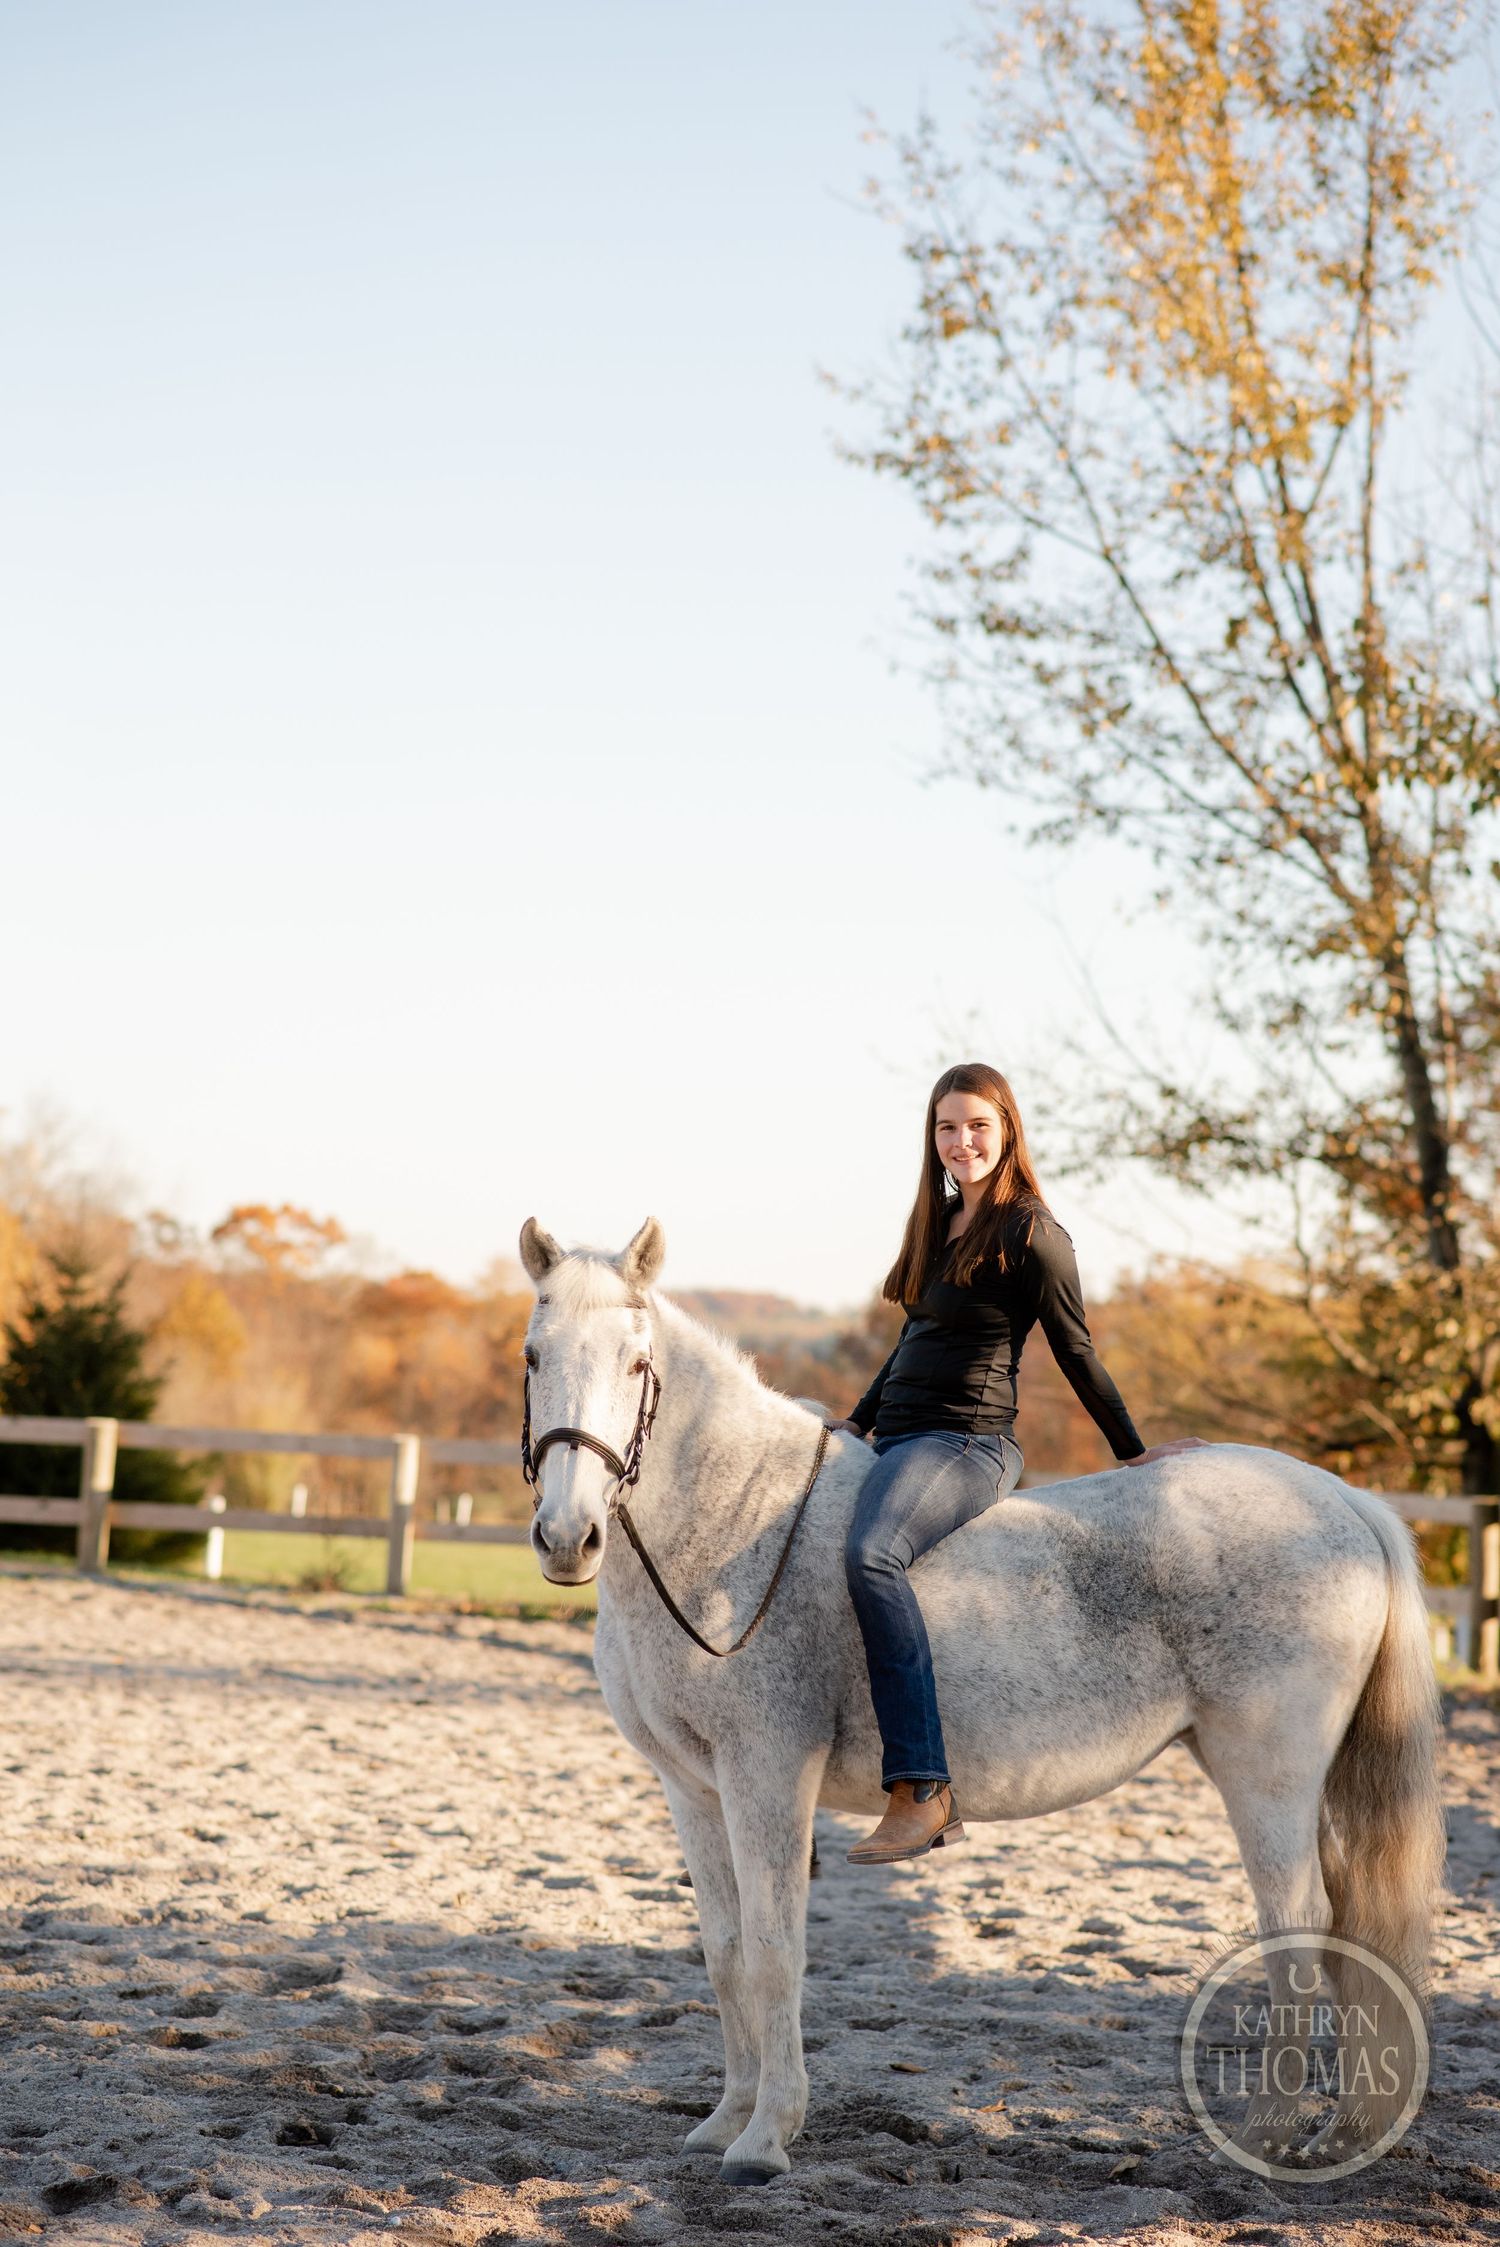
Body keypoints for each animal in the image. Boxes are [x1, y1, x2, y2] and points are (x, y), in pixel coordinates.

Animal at [518, 1216, 1445, 2186]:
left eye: (636, 1362)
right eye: (535, 1355)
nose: (567, 1536)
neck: (737, 1526)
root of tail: (1340, 1497)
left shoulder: (766, 1774)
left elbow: (775, 1952)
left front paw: (766, 2137)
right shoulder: (693, 1788)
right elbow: (728, 1953)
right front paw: (723, 2119)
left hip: (1267, 1775)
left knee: (1297, 1929)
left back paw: (1266, 2133)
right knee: (1343, 1931)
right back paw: (1338, 2132)